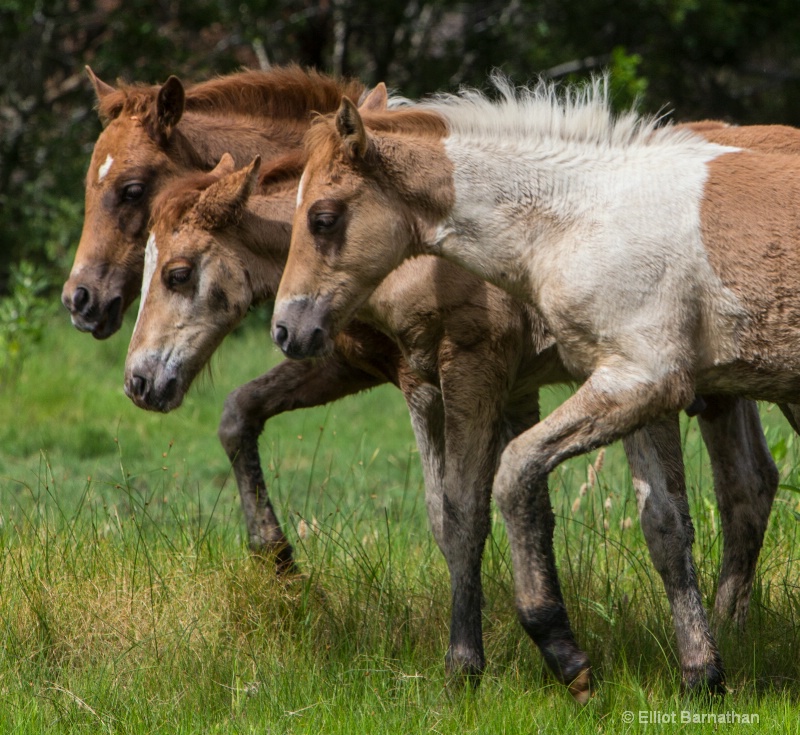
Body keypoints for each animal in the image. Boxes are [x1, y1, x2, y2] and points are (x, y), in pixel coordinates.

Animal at [274, 77, 800, 700]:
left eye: (324, 218)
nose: (287, 329)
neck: (583, 217)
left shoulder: (639, 379)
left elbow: (512, 475)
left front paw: (560, 650)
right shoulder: (644, 392)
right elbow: (665, 526)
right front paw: (702, 675)